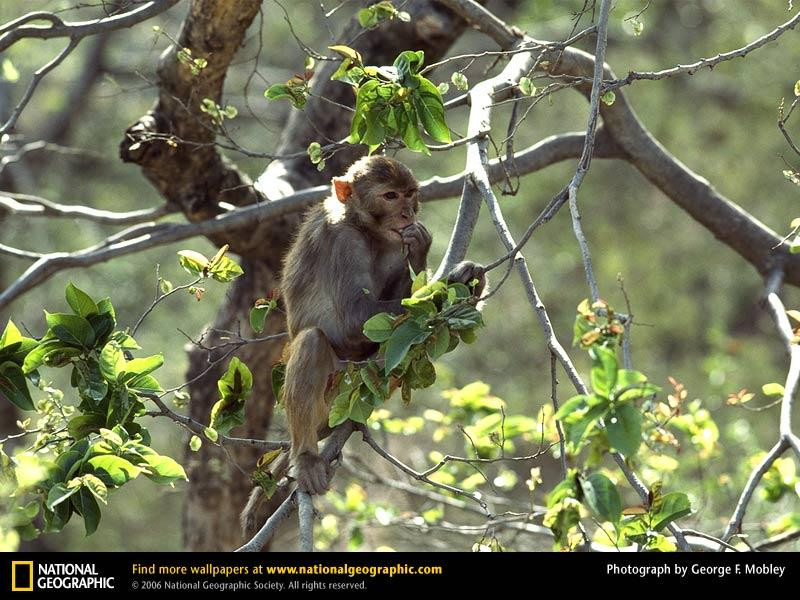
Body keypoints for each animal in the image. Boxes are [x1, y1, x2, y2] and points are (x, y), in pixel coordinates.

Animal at [241, 156, 484, 536]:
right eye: (390, 196)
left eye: (410, 194)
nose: (407, 212)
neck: (362, 225)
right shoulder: (344, 242)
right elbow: (355, 319)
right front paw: (452, 278)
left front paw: (439, 261)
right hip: (334, 394)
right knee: (312, 342)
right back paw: (306, 456)